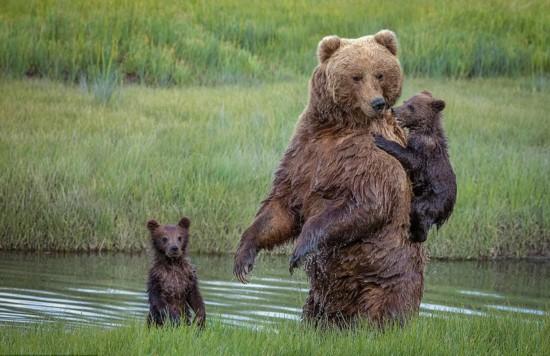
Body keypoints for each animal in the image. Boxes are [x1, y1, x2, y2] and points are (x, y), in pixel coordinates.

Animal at [233, 29, 426, 326]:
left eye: (380, 74)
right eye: (356, 76)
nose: (377, 103)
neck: (337, 127)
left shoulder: (373, 156)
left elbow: (366, 204)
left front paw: (300, 249)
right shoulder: (304, 152)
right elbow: (282, 206)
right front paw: (243, 258)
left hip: (387, 275)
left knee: (386, 308)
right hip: (321, 297)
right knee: (317, 312)